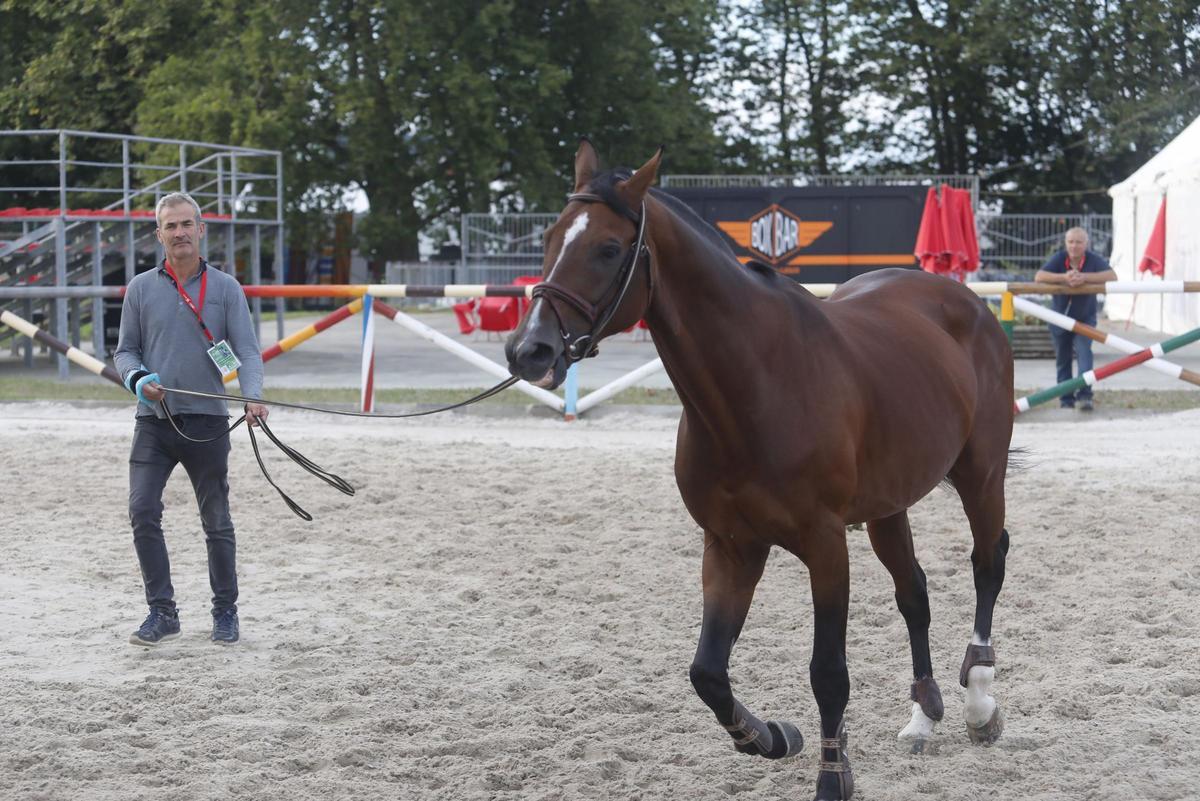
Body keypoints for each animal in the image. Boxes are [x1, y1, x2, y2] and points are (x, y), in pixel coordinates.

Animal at [505, 140, 1013, 801]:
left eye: (609, 248)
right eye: (549, 237)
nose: (529, 350)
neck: (755, 385)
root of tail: (965, 302)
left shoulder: (825, 546)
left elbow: (828, 673)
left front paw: (832, 777)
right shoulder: (731, 545)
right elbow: (707, 673)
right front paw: (770, 736)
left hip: (982, 475)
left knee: (987, 564)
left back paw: (979, 703)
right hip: (888, 505)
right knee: (915, 593)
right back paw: (923, 715)